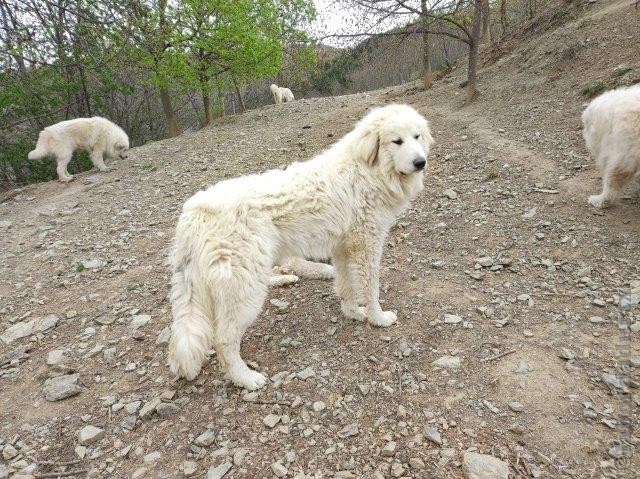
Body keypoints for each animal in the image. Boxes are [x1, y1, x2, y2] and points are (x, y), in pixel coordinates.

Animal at [168, 104, 432, 390]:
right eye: (397, 141)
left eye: (417, 136)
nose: (420, 162)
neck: (367, 171)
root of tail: (193, 214)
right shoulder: (367, 245)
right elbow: (370, 289)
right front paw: (378, 318)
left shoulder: (343, 248)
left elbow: (346, 286)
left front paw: (353, 313)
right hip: (246, 290)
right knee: (224, 341)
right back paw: (246, 379)